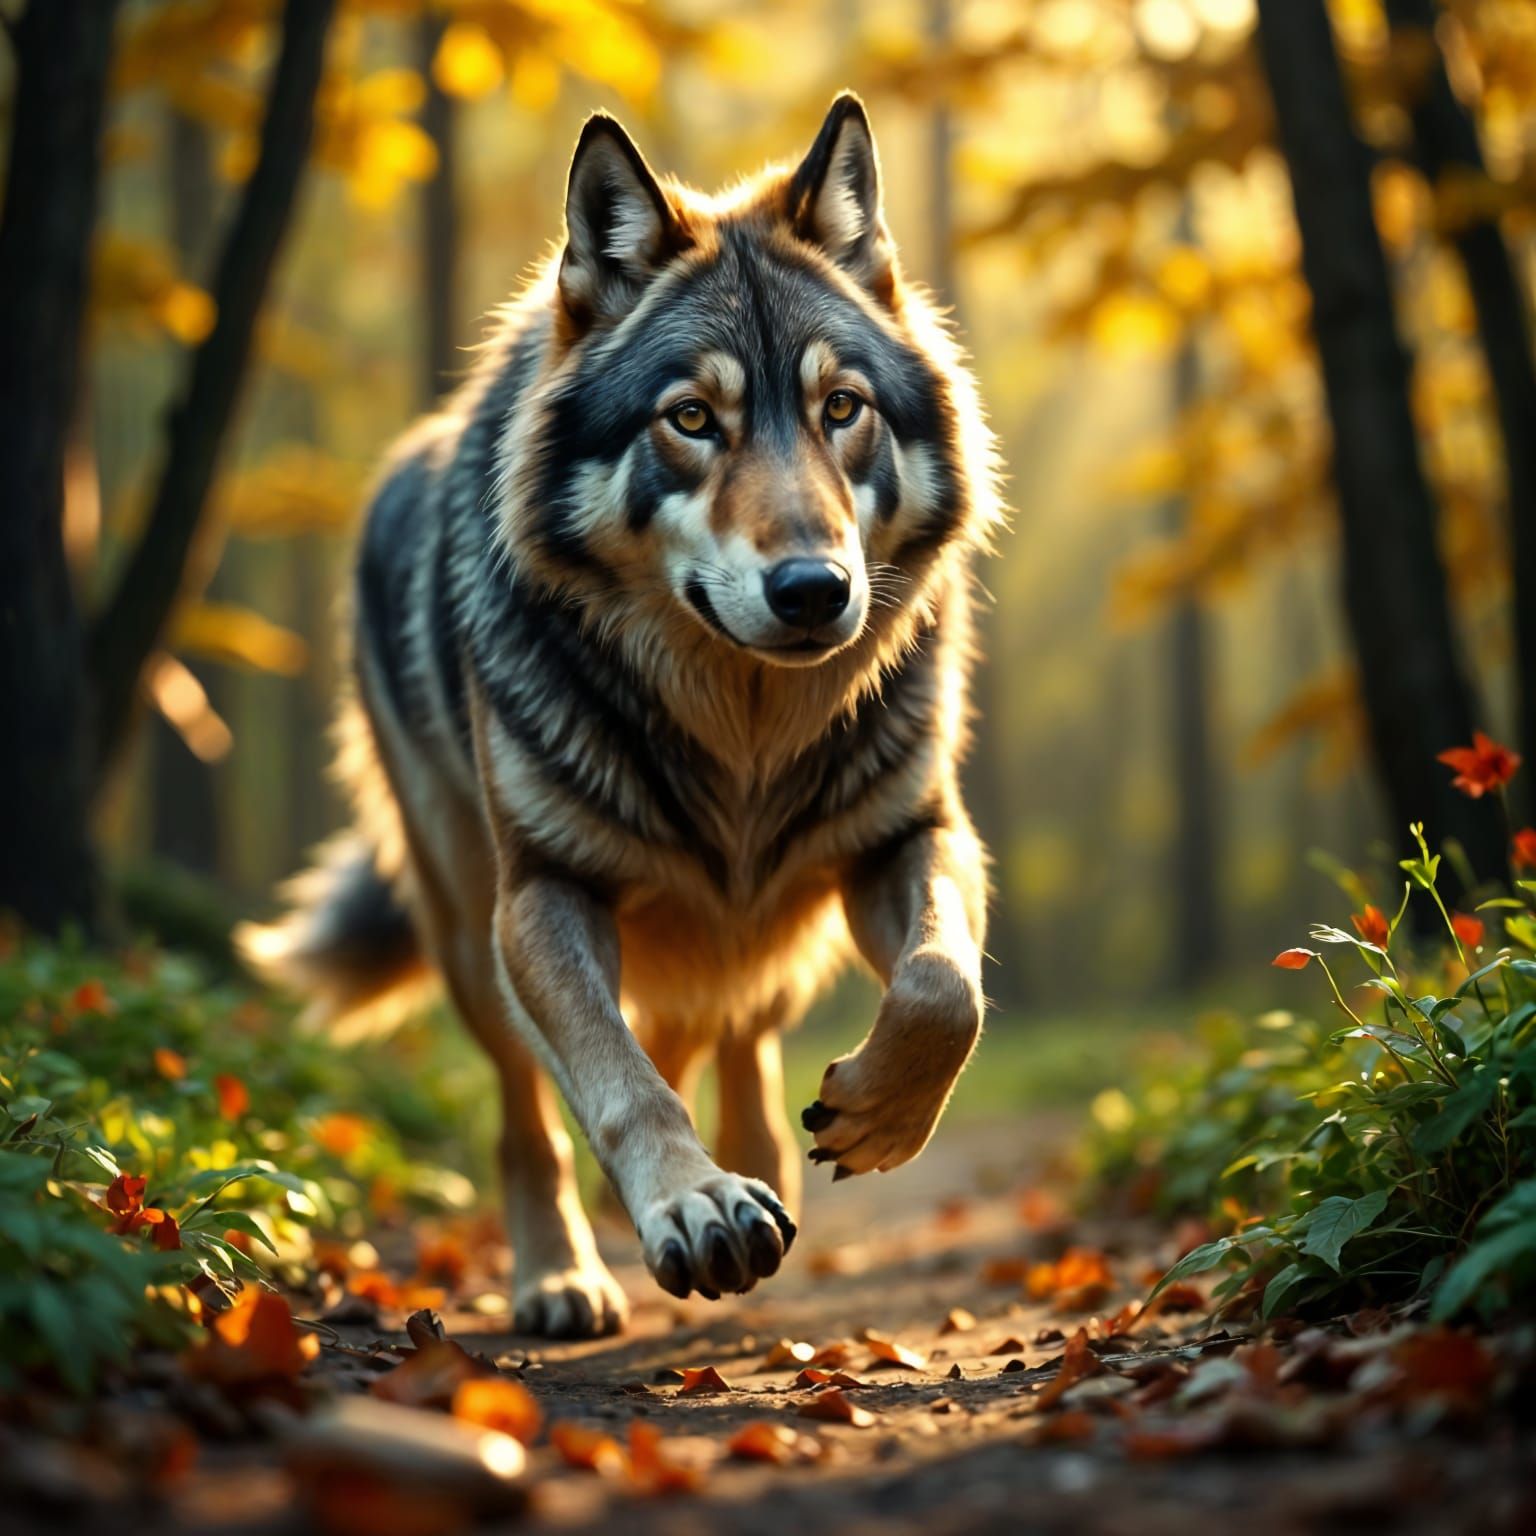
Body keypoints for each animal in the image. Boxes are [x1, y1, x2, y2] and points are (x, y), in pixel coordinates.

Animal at [240, 94, 1002, 1338]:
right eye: (690, 418)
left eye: (841, 408)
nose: (813, 591)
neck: (741, 745)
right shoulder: (546, 894)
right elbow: (617, 1081)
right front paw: (695, 1207)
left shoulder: (913, 835)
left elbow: (945, 991)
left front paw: (873, 1118)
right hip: (470, 935)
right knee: (537, 1113)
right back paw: (565, 1273)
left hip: (773, 928)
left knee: (733, 1022)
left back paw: (763, 1157)